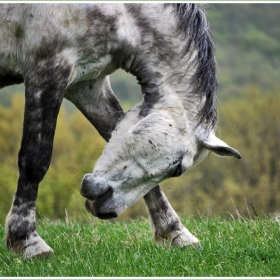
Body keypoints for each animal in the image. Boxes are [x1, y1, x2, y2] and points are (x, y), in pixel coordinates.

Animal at [0, 3, 241, 260]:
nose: (106, 210)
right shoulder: (47, 70)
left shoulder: (87, 84)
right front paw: (27, 240)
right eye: (177, 169)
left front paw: (175, 232)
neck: (122, 13)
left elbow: (112, 128)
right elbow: (36, 159)